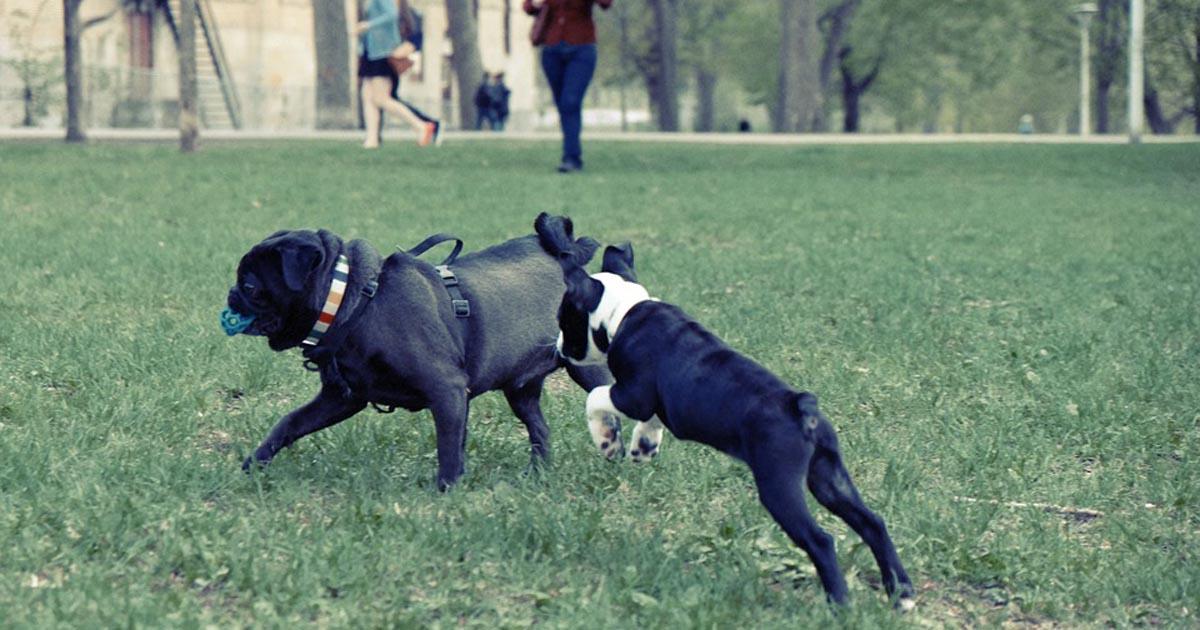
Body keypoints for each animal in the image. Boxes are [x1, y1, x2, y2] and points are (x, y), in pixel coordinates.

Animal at [532, 213, 907, 607]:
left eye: (564, 320)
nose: (558, 346)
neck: (624, 313)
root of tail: (802, 406)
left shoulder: (632, 393)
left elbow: (597, 397)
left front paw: (607, 441)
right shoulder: (653, 401)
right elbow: (651, 420)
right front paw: (644, 446)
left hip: (779, 484)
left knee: (820, 540)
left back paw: (839, 605)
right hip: (828, 476)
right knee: (871, 522)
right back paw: (902, 594)